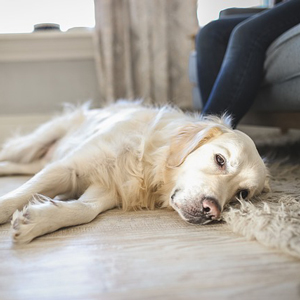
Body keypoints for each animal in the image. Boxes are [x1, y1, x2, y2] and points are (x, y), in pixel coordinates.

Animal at [0, 102, 270, 243]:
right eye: (220, 160)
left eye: (242, 194)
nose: (212, 211)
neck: (146, 161)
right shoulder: (66, 168)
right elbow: (22, 193)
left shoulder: (107, 188)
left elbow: (84, 210)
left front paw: (35, 221)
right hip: (32, 145)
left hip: (32, 161)